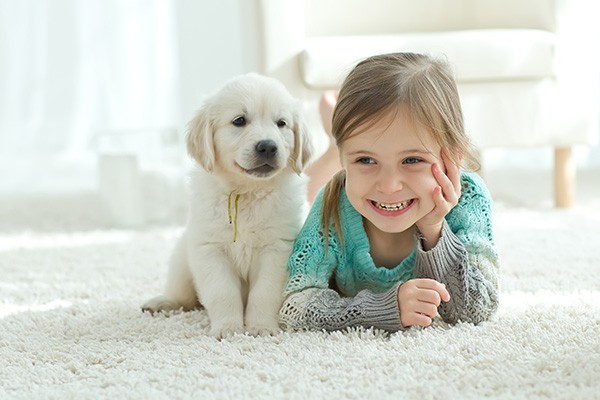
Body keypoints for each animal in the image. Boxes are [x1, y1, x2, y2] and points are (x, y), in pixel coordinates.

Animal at [142, 72, 314, 338]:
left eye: (281, 123)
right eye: (239, 121)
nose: (268, 146)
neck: (246, 192)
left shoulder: (277, 249)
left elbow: (264, 293)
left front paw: (261, 327)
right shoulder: (210, 249)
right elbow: (222, 292)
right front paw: (228, 328)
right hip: (181, 263)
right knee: (183, 297)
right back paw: (161, 302)